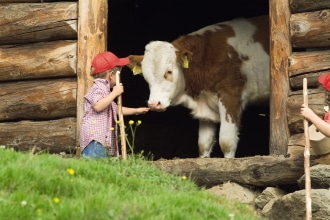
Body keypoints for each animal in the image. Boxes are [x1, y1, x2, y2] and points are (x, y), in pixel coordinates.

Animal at [127, 15, 270, 158]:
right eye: (145, 75)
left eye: (169, 71)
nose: (154, 104)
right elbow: (203, 144)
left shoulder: (230, 95)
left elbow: (226, 142)